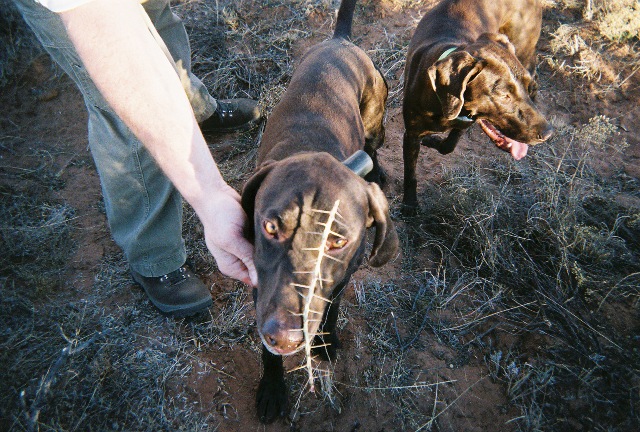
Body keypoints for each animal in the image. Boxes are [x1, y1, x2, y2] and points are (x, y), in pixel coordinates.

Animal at [242, 0, 398, 422]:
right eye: (270, 227)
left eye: (337, 242)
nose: (284, 336)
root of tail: (340, 40)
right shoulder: (261, 290)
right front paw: (272, 388)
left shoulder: (341, 277)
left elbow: (331, 309)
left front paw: (325, 343)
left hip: (376, 122)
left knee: (373, 145)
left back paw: (379, 169)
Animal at [402, 0, 552, 209]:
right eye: (503, 95)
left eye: (525, 87)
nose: (548, 134)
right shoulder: (412, 135)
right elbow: (411, 174)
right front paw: (409, 205)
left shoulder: (465, 122)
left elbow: (449, 146)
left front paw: (433, 141)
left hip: (525, 47)